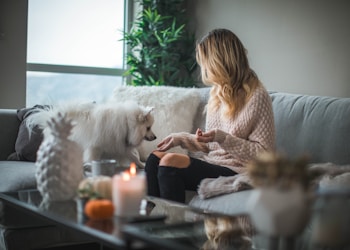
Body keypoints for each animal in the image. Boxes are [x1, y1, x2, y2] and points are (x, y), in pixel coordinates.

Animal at [25, 100, 155, 168]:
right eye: (148, 128)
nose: (155, 137)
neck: (127, 123)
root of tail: (51, 116)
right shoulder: (97, 146)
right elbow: (93, 158)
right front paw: (90, 166)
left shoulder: (120, 145)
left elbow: (133, 157)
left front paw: (142, 165)